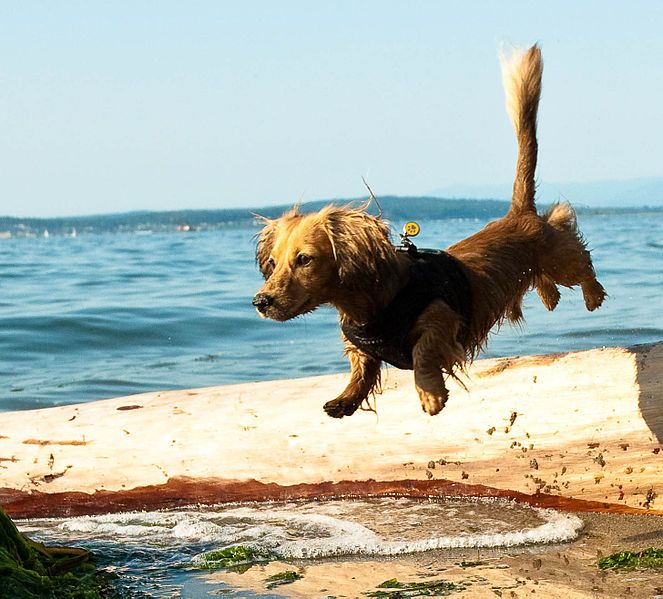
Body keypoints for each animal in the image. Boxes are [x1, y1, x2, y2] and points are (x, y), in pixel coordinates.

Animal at [253, 47, 608, 420]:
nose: (260, 302)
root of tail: (518, 212)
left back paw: (592, 294)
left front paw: (431, 393)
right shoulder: (362, 347)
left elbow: (423, 353)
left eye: (304, 259)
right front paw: (345, 399)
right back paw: (550, 297)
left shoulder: (442, 320)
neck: (376, 302)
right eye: (273, 263)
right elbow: (360, 367)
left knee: (576, 254)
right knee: (544, 273)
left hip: (559, 257)